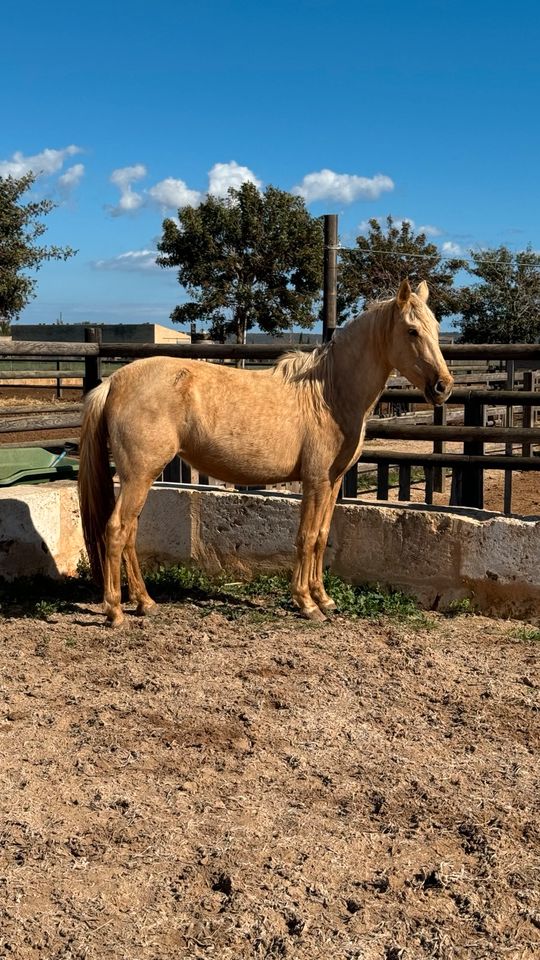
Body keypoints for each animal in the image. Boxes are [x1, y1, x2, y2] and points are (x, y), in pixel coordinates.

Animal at [78, 280, 454, 624]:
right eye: (411, 331)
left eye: (436, 329)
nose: (443, 387)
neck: (329, 392)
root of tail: (114, 383)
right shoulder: (315, 481)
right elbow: (306, 537)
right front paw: (306, 603)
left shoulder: (332, 482)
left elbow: (322, 537)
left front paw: (324, 598)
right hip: (138, 476)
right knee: (116, 531)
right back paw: (115, 611)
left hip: (141, 478)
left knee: (130, 533)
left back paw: (145, 602)